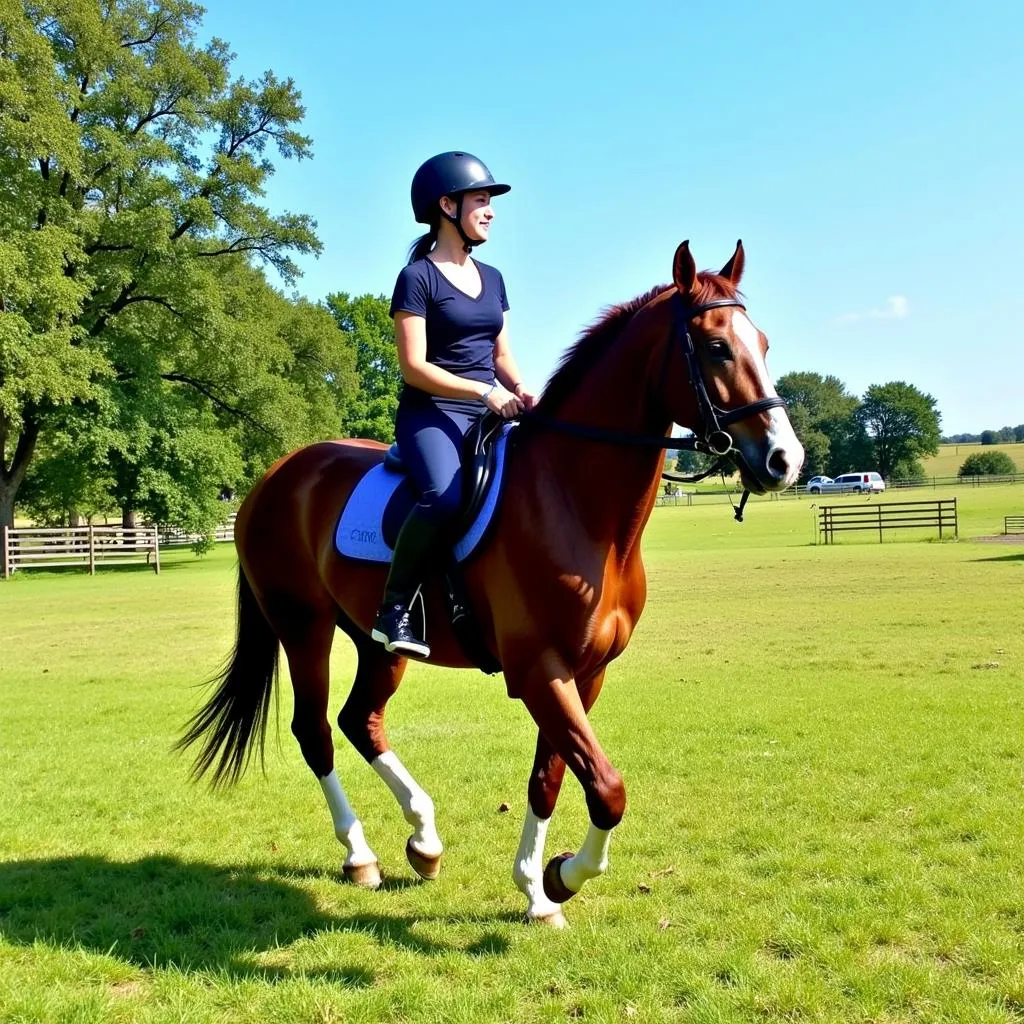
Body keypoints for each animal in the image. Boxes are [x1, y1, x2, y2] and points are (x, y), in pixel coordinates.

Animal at [178, 239, 806, 929]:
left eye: (764, 343)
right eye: (717, 346)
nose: (785, 461)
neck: (575, 504)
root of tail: (276, 475)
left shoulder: (585, 672)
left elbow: (553, 779)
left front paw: (538, 889)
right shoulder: (539, 670)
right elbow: (607, 788)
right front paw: (562, 876)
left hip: (378, 641)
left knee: (359, 719)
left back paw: (424, 841)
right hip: (302, 626)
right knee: (315, 730)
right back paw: (360, 855)